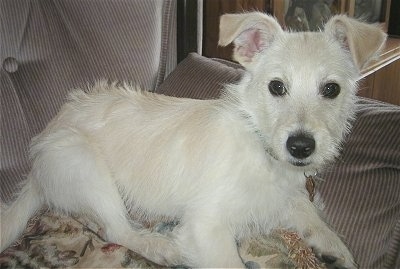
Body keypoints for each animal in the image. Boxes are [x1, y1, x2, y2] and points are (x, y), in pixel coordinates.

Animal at [1, 12, 386, 266]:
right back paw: (162, 247)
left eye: (331, 89)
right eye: (277, 87)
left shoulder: (287, 194)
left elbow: (308, 212)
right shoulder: (207, 225)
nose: (302, 146)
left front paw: (333, 248)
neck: (260, 146)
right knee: (117, 231)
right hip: (85, 165)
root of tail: (35, 170)